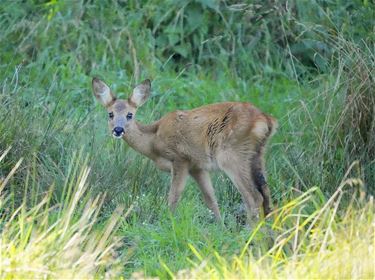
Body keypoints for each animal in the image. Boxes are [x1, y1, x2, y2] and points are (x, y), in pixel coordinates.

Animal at [92, 77, 278, 223]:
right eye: (110, 114)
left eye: (130, 115)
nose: (118, 130)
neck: (154, 140)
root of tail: (267, 120)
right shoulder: (197, 167)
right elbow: (211, 199)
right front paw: (221, 227)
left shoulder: (180, 159)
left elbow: (173, 197)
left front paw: (168, 225)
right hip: (257, 155)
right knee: (266, 194)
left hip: (231, 155)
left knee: (254, 197)